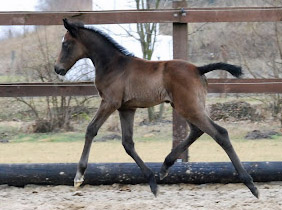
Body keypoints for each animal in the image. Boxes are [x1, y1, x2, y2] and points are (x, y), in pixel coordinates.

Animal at [54, 18, 258, 198]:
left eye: (66, 44)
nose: (57, 68)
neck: (114, 65)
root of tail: (198, 69)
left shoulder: (109, 102)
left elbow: (91, 130)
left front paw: (79, 176)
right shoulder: (126, 108)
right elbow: (127, 143)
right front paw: (152, 182)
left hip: (188, 107)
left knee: (220, 133)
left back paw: (251, 184)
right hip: (185, 106)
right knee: (196, 130)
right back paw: (164, 167)